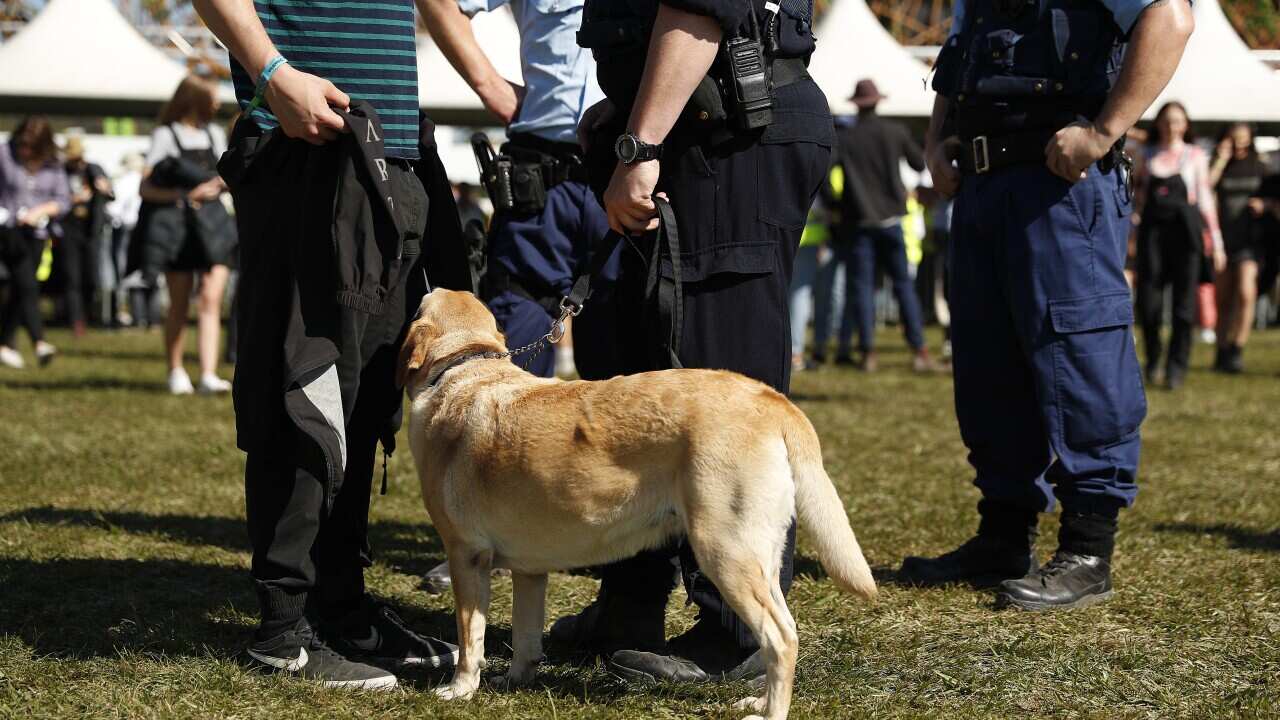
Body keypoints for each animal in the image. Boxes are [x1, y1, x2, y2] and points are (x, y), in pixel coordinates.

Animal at [399, 288, 880, 717]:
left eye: (419, 304)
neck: (464, 368)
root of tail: (771, 399)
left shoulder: (466, 555)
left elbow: (470, 636)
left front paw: (460, 689)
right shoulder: (529, 569)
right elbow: (525, 634)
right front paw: (515, 679)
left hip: (725, 551)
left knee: (782, 637)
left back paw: (770, 713)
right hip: (756, 555)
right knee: (778, 634)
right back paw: (758, 701)